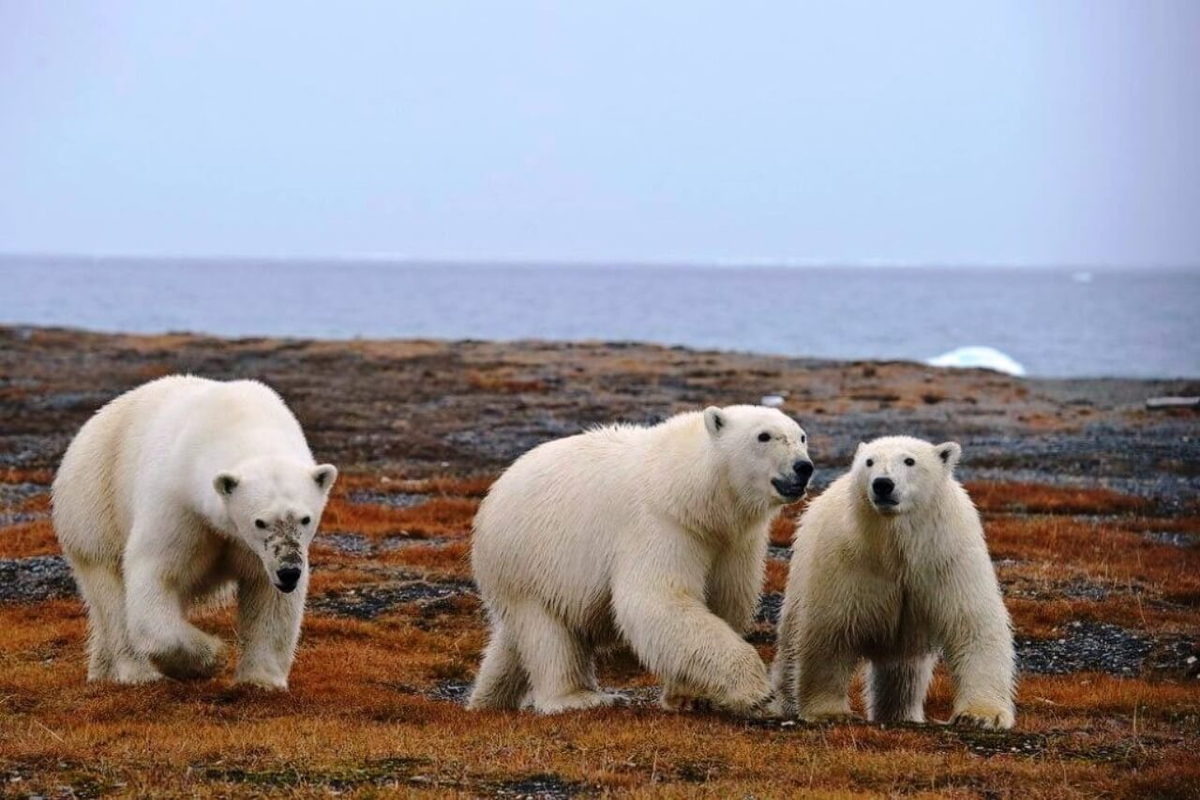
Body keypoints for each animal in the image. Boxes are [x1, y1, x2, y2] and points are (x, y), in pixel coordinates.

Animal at [52, 379, 338, 690]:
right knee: (110, 590)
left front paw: (261, 681)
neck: (237, 419)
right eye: (260, 522)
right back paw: (137, 672)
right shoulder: (178, 504)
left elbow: (267, 594)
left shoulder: (257, 551)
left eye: (305, 518)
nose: (289, 572)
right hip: (95, 505)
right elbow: (155, 576)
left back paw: (100, 670)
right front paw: (213, 658)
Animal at [468, 407, 816, 714]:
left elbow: (724, 600)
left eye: (801, 436)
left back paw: (487, 700)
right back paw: (579, 698)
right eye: (764, 436)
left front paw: (688, 695)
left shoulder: (732, 542)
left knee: (513, 640)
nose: (804, 467)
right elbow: (658, 599)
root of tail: (496, 490)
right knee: (548, 633)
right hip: (530, 561)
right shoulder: (661, 525)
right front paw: (756, 690)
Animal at [768, 434, 1012, 729]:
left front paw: (980, 716)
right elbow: (830, 630)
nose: (883, 484)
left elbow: (973, 624)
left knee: (904, 670)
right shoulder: (848, 561)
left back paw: (901, 713)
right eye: (869, 462)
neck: (896, 543)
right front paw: (829, 712)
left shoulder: (947, 558)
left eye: (909, 460)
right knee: (791, 640)